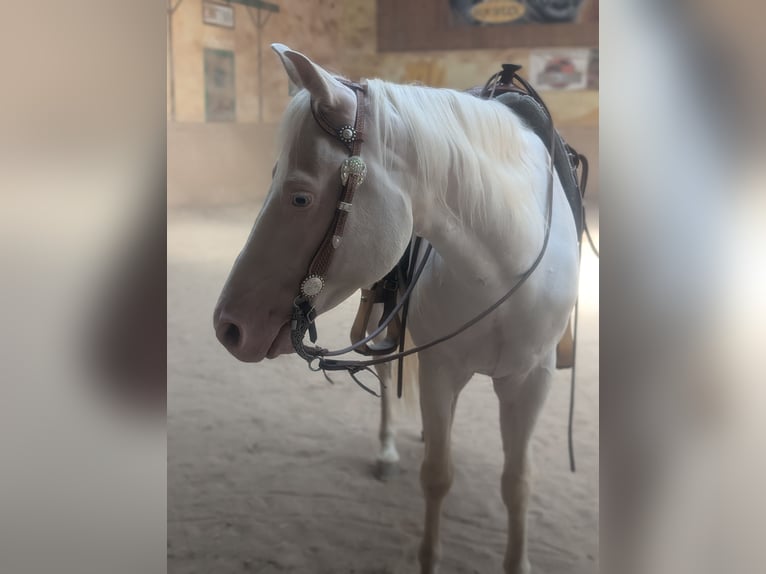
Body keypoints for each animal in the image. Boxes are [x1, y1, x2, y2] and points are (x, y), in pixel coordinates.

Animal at [213, 44, 580, 574]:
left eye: (300, 196)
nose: (228, 327)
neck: (505, 260)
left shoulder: (532, 378)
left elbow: (517, 483)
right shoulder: (442, 367)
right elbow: (437, 475)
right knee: (386, 376)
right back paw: (387, 452)